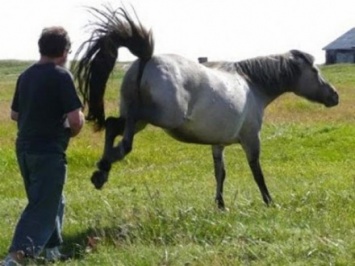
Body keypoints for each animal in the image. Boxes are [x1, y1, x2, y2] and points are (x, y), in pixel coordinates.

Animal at [73, 5, 340, 210]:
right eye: (314, 71)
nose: (334, 96)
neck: (252, 85)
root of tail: (146, 59)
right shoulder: (251, 138)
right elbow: (256, 170)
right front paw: (269, 201)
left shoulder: (218, 143)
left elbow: (220, 173)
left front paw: (221, 205)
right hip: (159, 117)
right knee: (122, 133)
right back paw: (111, 160)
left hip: (139, 118)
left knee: (113, 125)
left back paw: (102, 171)